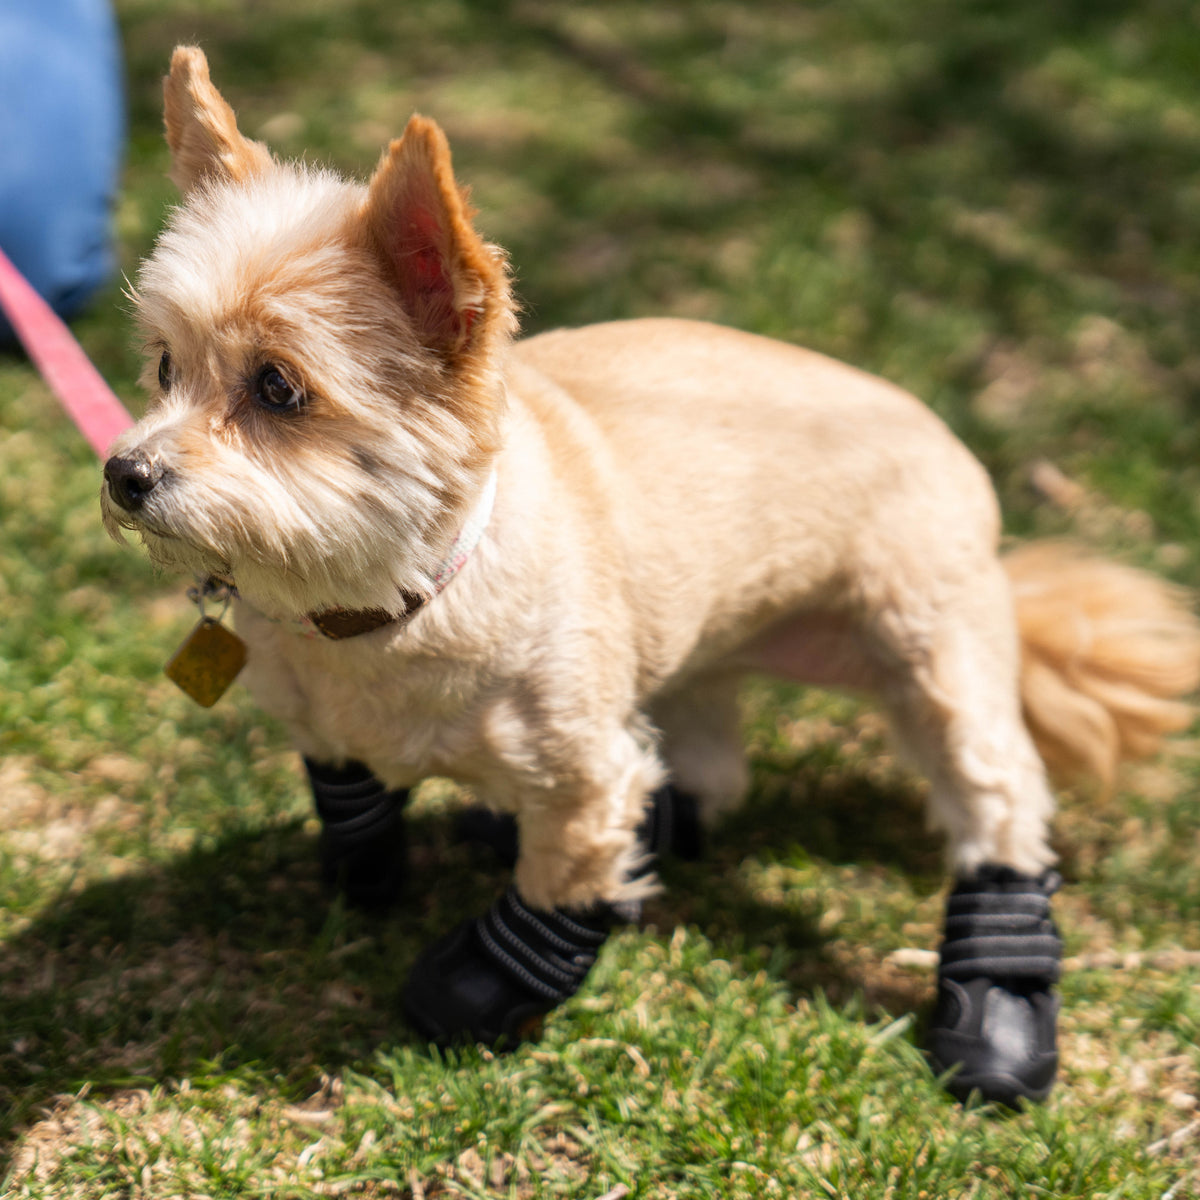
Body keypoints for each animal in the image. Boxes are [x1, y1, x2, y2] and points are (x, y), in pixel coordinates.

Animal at [103, 49, 1200, 1104]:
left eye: (278, 389)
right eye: (165, 368)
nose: (123, 473)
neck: (395, 602)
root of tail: (932, 423)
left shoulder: (591, 777)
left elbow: (559, 884)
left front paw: (485, 982)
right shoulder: (329, 737)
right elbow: (359, 817)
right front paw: (368, 878)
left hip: (931, 653)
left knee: (999, 807)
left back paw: (998, 1014)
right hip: (703, 650)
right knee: (713, 764)